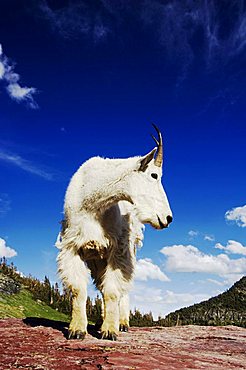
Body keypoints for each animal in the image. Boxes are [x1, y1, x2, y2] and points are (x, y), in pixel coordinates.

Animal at [56, 125, 172, 340]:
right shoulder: (73, 246)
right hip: (97, 258)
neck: (93, 201)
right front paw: (77, 330)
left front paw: (110, 330)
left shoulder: (118, 249)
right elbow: (79, 290)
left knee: (121, 289)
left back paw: (122, 322)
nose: (168, 218)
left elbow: (112, 291)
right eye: (154, 175)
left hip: (127, 250)